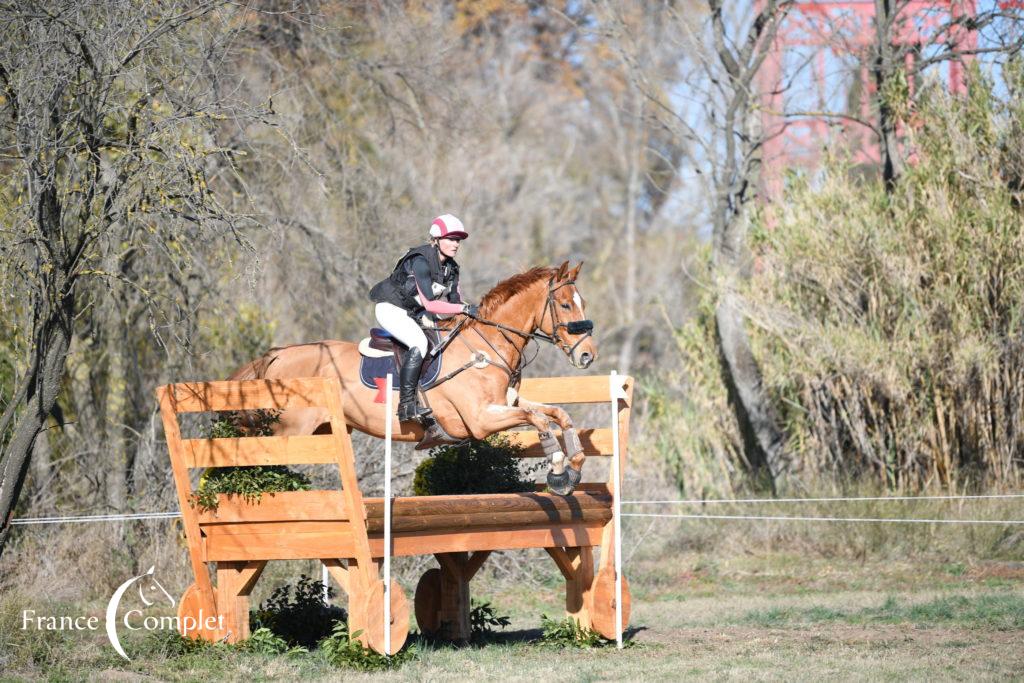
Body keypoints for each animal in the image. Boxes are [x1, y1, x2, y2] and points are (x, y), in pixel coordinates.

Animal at [230, 259, 598, 493]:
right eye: (565, 305)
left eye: (582, 302)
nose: (587, 355)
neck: (487, 344)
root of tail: (277, 354)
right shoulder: (480, 420)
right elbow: (539, 420)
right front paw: (558, 470)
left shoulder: (508, 403)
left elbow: (557, 414)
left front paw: (576, 464)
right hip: (288, 431)